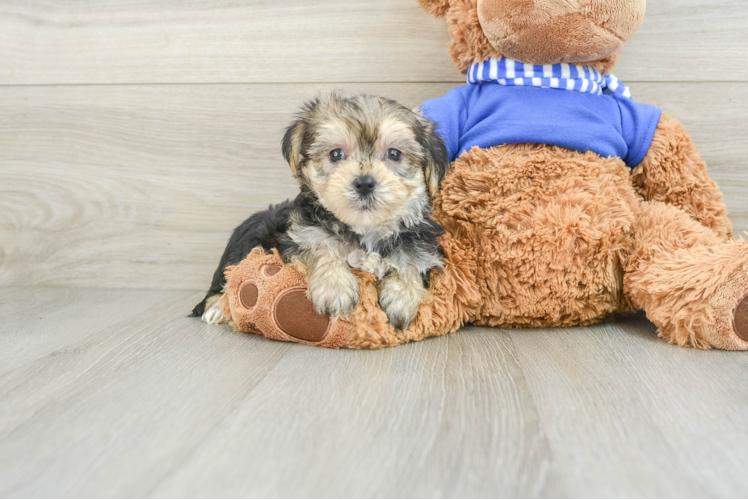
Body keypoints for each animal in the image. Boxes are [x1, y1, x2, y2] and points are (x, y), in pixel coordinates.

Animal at [193, 93, 450, 330]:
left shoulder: (420, 245)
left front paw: (402, 297)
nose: (364, 183)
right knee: (227, 279)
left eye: (394, 154)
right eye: (336, 154)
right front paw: (334, 288)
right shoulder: (301, 232)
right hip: (248, 239)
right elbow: (321, 245)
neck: (365, 230)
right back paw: (217, 308)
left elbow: (412, 263)